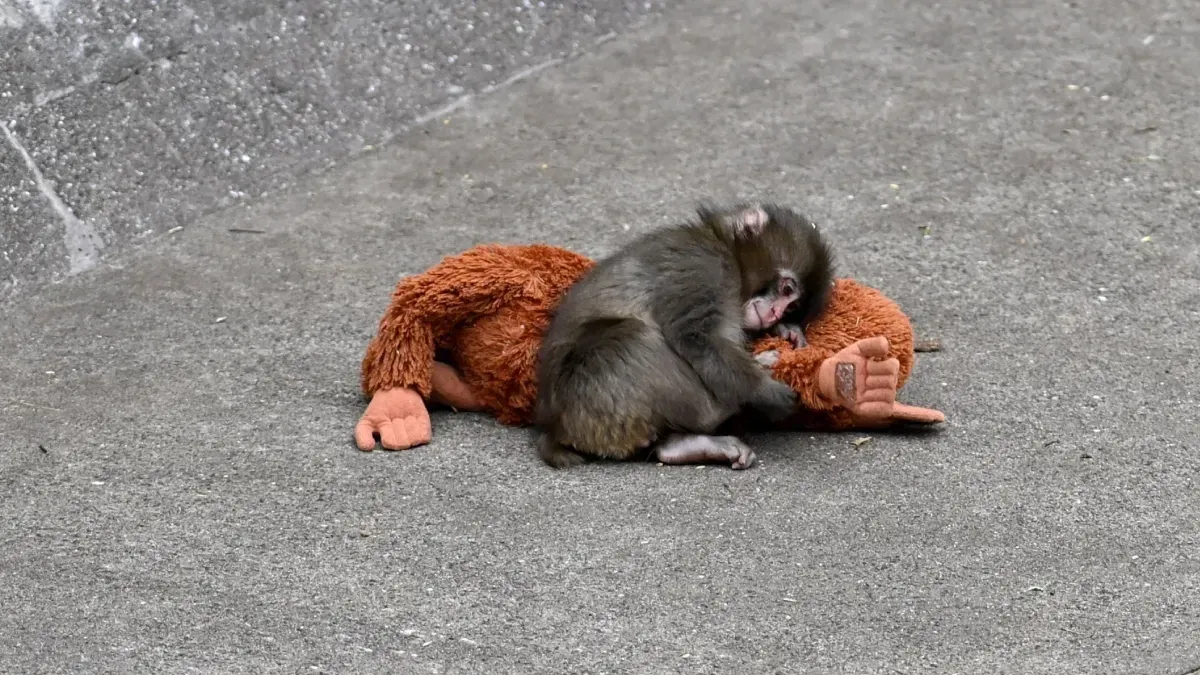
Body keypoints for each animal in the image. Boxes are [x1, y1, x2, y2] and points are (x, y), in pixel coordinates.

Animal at [533, 202, 835, 471]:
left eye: (791, 307)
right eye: (786, 290)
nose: (774, 314)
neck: (724, 247)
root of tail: (555, 428)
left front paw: (786, 331)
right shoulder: (705, 267)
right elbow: (696, 336)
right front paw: (764, 391)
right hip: (592, 396)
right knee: (632, 337)